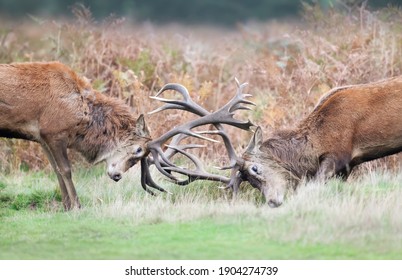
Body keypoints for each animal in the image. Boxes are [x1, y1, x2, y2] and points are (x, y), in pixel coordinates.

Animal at [0, 61, 152, 210]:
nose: (117, 176)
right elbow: (66, 170)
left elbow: (56, 170)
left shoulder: (41, 138)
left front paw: (66, 206)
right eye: (138, 149)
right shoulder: (54, 133)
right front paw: (76, 206)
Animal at [228, 75, 402, 207]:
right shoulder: (347, 166)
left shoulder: (339, 155)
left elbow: (314, 185)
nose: (272, 202)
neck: (318, 140)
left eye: (255, 168)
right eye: (250, 182)